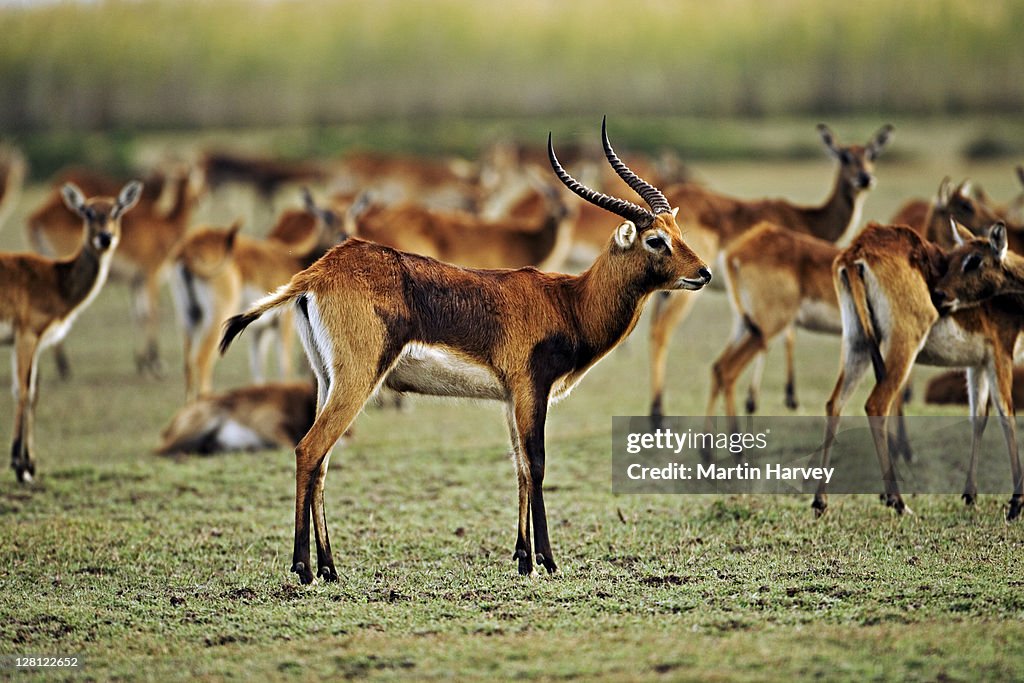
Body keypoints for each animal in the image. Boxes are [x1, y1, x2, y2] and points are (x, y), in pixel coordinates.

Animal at [2, 179, 142, 483]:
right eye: (87, 212)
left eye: (116, 210)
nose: (105, 237)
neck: (57, 281)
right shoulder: (26, 335)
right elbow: (24, 392)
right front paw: (19, 466)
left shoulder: (35, 341)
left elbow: (32, 391)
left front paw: (29, 465)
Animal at [218, 120, 712, 585]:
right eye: (655, 240)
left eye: (678, 231)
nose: (704, 272)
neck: (569, 302)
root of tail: (318, 271)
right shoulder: (532, 389)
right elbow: (537, 464)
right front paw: (548, 562)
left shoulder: (512, 398)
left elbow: (518, 467)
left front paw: (522, 559)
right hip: (357, 380)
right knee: (309, 449)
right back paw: (304, 568)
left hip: (326, 379)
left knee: (320, 462)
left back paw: (328, 568)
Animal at [651, 125, 892, 419]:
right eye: (845, 156)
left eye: (871, 154)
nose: (865, 178)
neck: (807, 219)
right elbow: (788, 335)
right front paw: (781, 398)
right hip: (684, 291)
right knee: (662, 332)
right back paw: (658, 411)